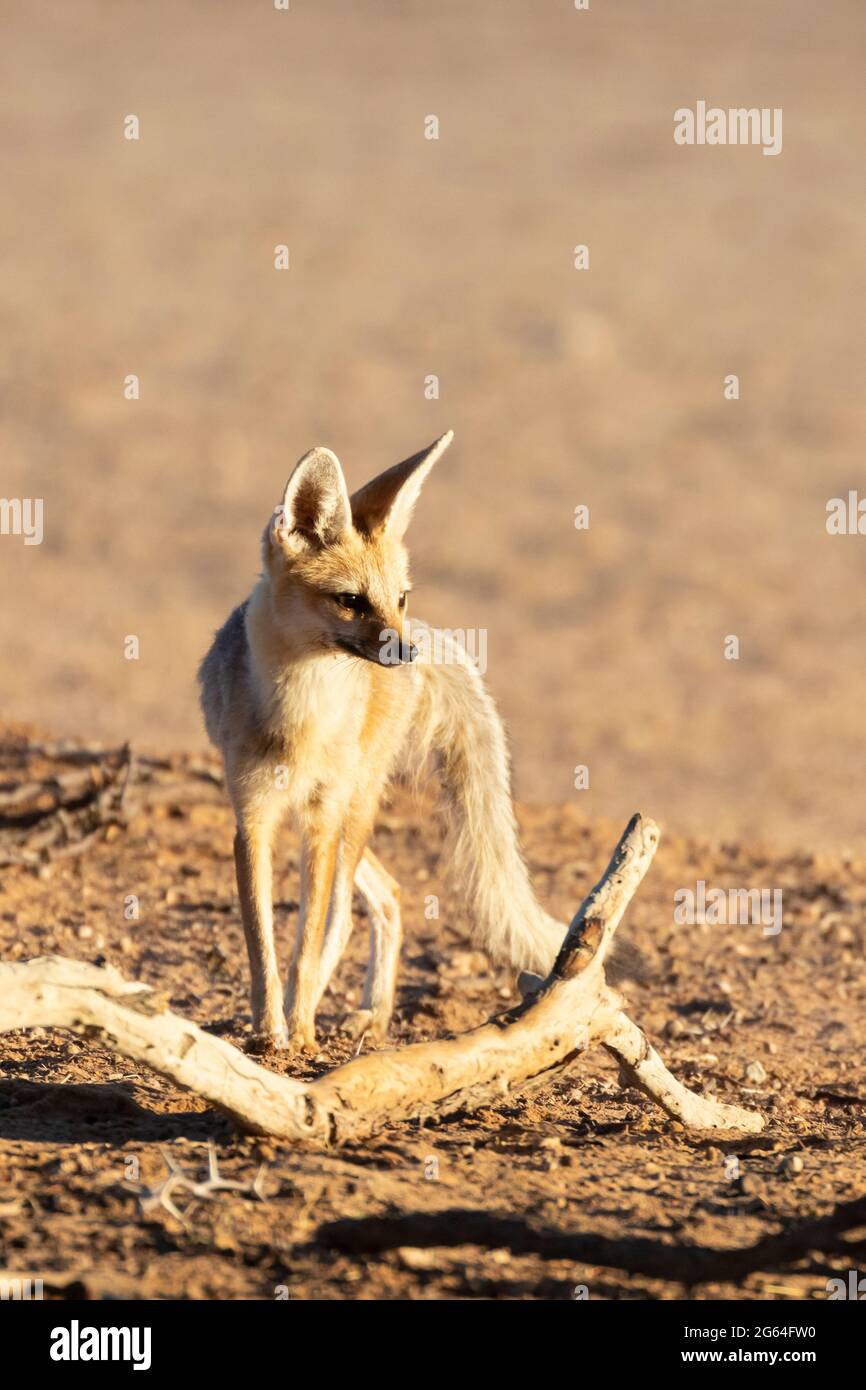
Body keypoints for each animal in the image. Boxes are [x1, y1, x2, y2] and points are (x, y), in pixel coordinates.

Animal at [198, 433, 583, 1050]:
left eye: (399, 598)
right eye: (351, 601)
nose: (406, 651)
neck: (300, 717)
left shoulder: (321, 821)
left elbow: (306, 941)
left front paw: (297, 1033)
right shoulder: (251, 819)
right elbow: (261, 946)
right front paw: (266, 1032)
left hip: (354, 810)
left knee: (350, 914)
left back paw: (352, 1014)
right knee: (386, 894)